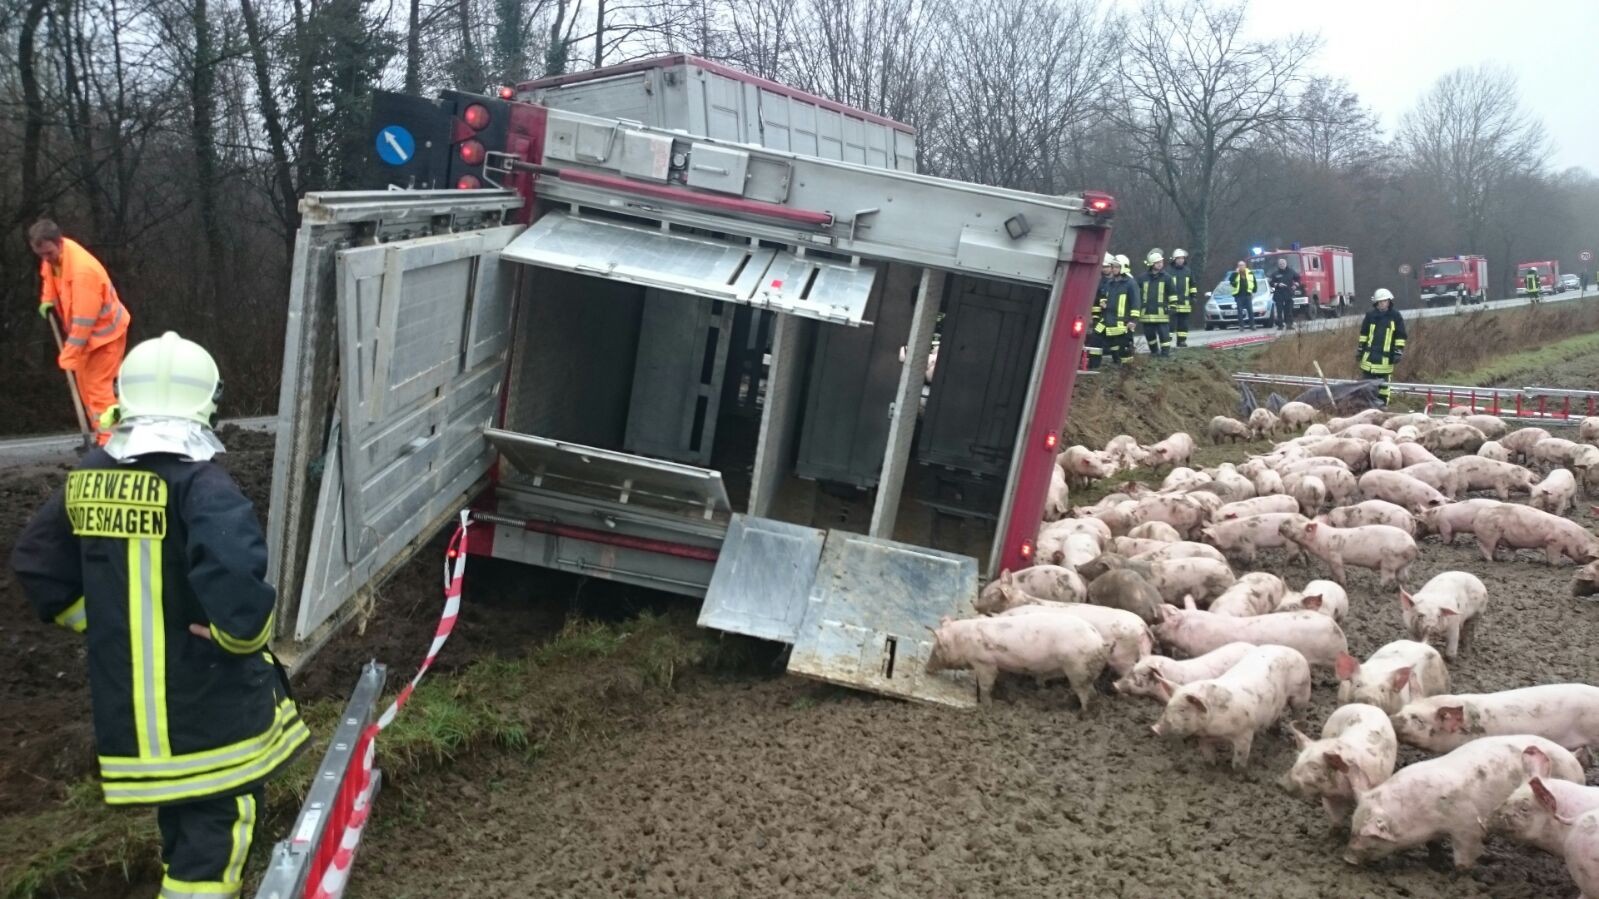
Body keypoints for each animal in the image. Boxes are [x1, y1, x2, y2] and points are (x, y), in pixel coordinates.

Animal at [927, 607, 1112, 707]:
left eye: (936, 648)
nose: (926, 669)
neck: (963, 640)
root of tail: (1099, 641)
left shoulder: (985, 662)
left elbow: (987, 684)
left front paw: (987, 705)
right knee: (1092, 692)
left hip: (1078, 670)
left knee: (1085, 694)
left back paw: (1081, 712)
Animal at [1151, 639, 1311, 767]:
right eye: (1167, 706)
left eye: (1182, 709)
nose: (1154, 728)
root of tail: (1292, 650)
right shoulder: (1203, 739)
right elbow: (1208, 756)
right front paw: (1210, 767)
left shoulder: (1245, 733)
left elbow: (1239, 761)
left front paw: (1237, 773)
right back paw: (1273, 732)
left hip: (1302, 692)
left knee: (1299, 712)